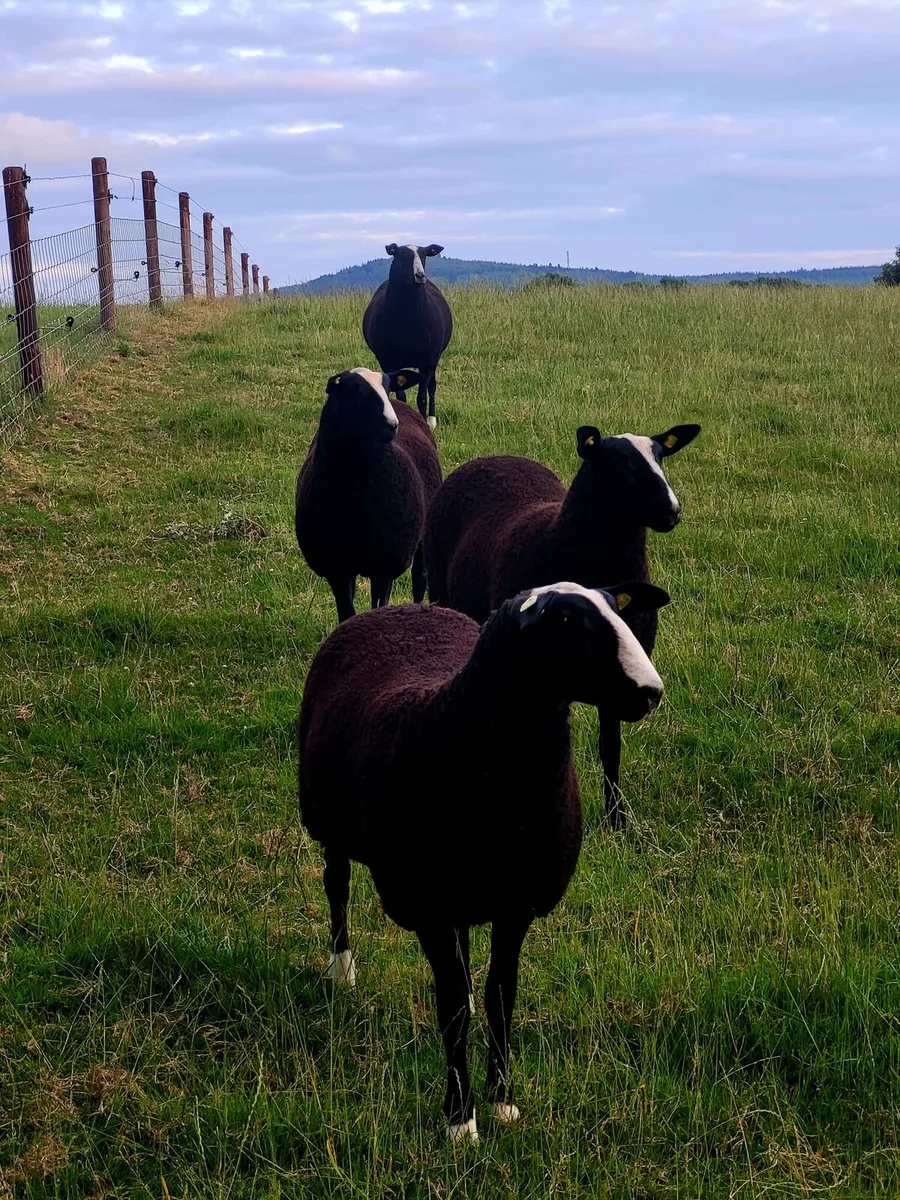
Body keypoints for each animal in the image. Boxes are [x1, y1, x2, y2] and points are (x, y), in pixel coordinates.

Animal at [294, 366, 442, 623]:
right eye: (354, 389)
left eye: (388, 386)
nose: (392, 424)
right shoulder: (336, 567)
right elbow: (346, 613)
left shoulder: (385, 565)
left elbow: (378, 607)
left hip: (421, 534)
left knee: (419, 580)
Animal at [298, 579, 670, 1141]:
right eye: (567, 622)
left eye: (615, 608)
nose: (651, 691)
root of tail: (401, 608)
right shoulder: (430, 908)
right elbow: (452, 1012)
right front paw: (460, 1120)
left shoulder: (516, 903)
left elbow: (501, 997)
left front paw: (503, 1100)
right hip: (329, 820)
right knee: (335, 884)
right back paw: (342, 968)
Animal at [362, 244, 453, 429]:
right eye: (402, 255)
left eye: (425, 255)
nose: (420, 275)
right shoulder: (389, 362)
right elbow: (401, 396)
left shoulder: (427, 361)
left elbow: (422, 398)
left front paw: (424, 422)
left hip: (434, 359)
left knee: (432, 387)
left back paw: (432, 420)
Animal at [424, 422, 700, 831]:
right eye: (619, 464)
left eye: (661, 456)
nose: (672, 511)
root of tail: (496, 456)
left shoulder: (621, 676)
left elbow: (610, 749)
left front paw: (617, 821)